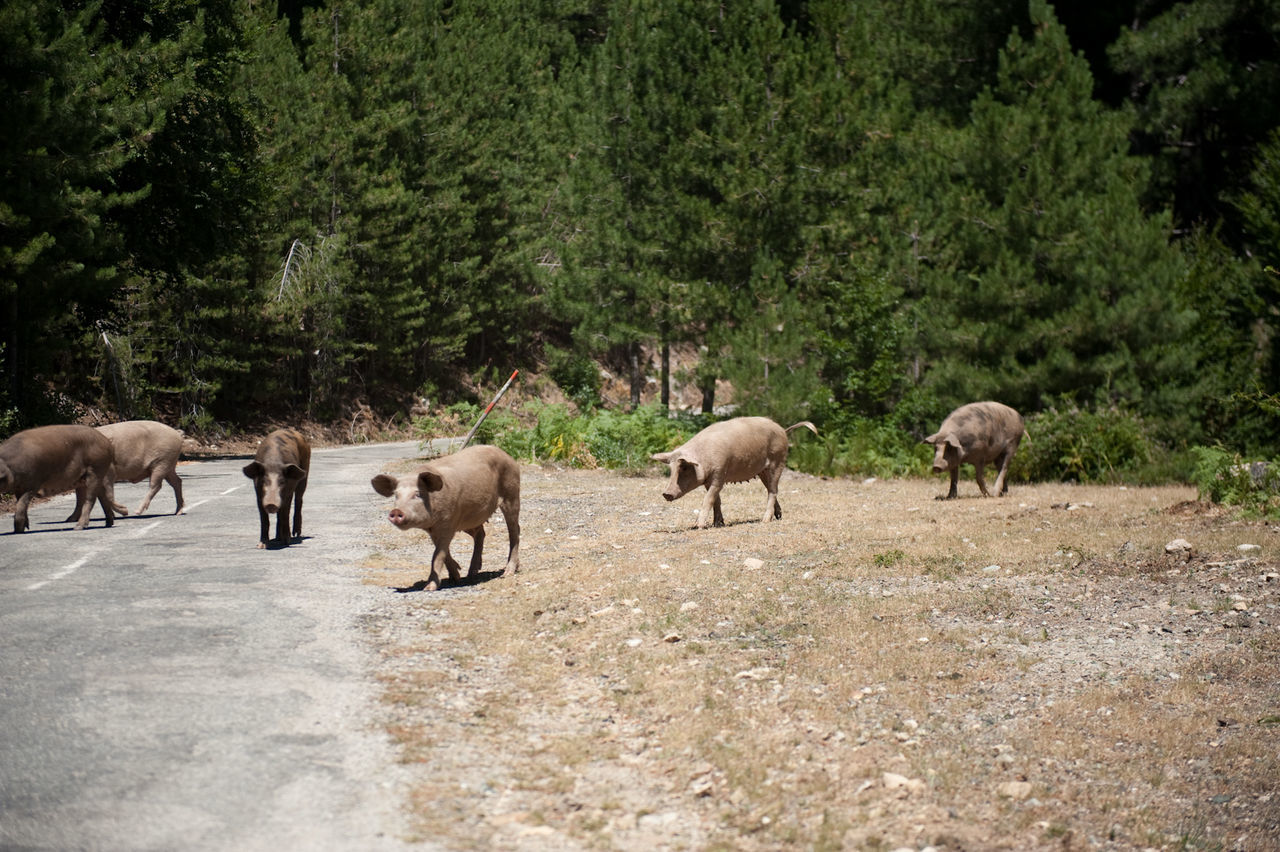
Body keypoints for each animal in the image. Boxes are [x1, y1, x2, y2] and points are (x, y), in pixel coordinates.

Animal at [371, 445, 519, 591]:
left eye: (417, 494)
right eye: (396, 495)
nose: (396, 511)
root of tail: (507, 455)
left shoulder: (448, 522)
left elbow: (437, 555)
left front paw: (429, 588)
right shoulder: (435, 529)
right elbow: (443, 551)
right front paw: (456, 577)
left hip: (511, 494)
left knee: (514, 531)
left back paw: (507, 572)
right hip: (469, 518)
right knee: (480, 533)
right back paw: (471, 573)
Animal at [650, 414, 819, 527]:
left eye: (684, 467)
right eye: (671, 469)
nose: (666, 493)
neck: (703, 458)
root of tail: (783, 430)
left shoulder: (720, 474)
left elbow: (708, 499)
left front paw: (699, 526)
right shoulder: (708, 481)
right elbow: (716, 500)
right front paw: (718, 524)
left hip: (777, 462)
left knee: (773, 491)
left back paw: (765, 520)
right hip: (762, 471)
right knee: (771, 490)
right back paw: (778, 516)